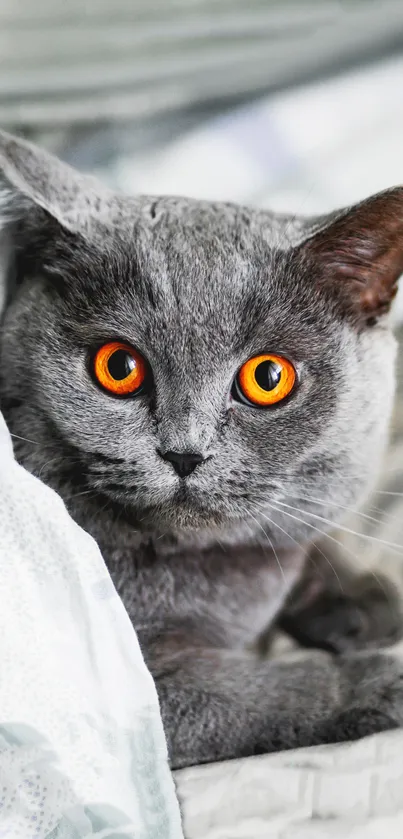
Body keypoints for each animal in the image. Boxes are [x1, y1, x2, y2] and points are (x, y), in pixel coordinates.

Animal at [0, 130, 403, 768]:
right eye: (118, 367)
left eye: (269, 377)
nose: (184, 453)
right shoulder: (128, 696)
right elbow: (254, 692)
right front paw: (375, 680)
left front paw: (360, 597)